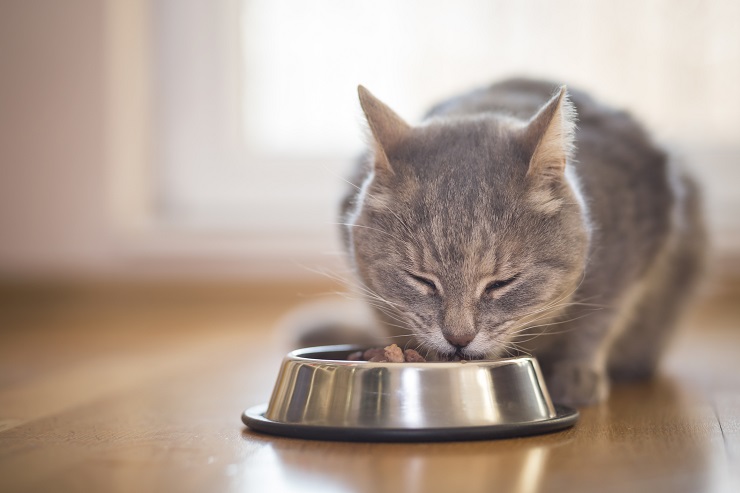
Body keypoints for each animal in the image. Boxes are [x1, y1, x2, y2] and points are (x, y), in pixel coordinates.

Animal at [318, 79, 704, 406]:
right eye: (421, 281)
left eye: (502, 283)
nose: (459, 339)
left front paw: (576, 372)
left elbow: (600, 320)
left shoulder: (635, 246)